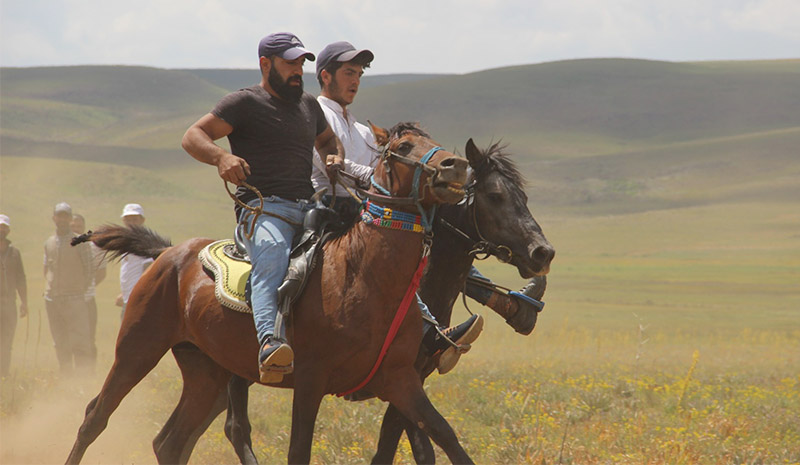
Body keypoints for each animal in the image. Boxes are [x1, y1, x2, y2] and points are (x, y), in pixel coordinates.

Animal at [65, 123, 476, 464]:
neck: (363, 276)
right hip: (137, 349)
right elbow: (299, 451)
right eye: (404, 145)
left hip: (205, 371)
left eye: (433, 139)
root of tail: (169, 253)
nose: (457, 165)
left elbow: (445, 436)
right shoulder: (310, 379)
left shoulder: (400, 379)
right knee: (94, 418)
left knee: (171, 441)